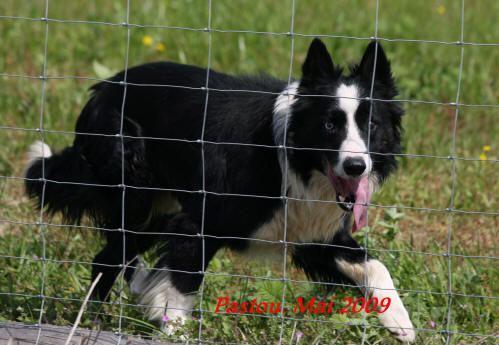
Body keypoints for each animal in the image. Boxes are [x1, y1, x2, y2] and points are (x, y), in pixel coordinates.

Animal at [27, 39, 416, 340]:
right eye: (329, 126)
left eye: (372, 126)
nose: (356, 166)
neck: (289, 160)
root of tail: (103, 88)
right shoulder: (199, 221)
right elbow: (181, 284)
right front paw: (175, 332)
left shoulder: (314, 235)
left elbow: (374, 264)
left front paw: (400, 322)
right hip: (132, 189)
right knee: (112, 256)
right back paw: (92, 324)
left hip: (157, 211)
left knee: (106, 260)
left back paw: (93, 324)